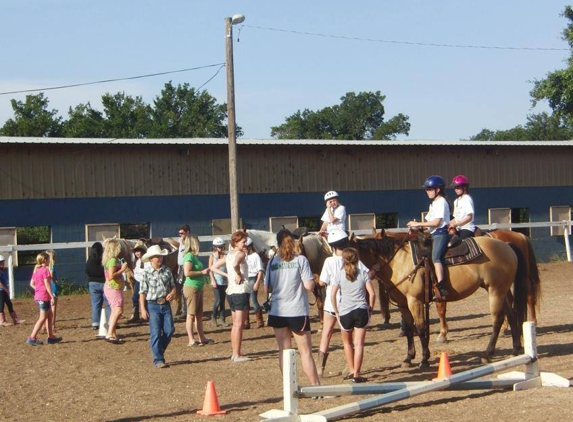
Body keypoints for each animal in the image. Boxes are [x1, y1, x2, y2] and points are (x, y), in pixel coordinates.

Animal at [354, 232, 528, 368]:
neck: (398, 260)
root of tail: (507, 246)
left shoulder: (415, 301)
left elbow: (421, 328)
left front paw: (424, 359)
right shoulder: (403, 304)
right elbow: (410, 329)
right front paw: (409, 358)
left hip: (495, 291)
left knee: (497, 320)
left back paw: (487, 353)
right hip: (501, 290)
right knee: (511, 315)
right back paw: (515, 348)